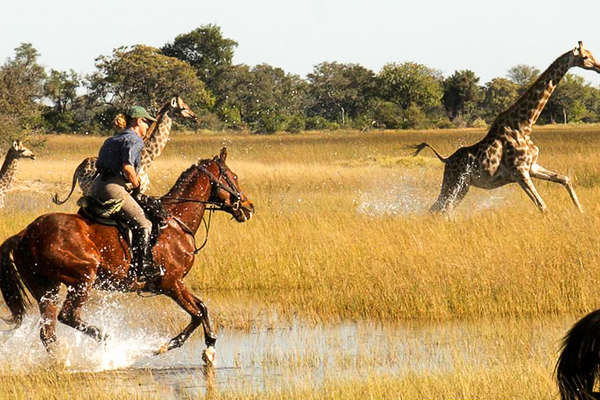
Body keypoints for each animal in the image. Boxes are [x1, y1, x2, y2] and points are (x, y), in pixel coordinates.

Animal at [0, 147, 253, 362]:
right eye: (234, 176)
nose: (249, 207)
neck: (176, 221)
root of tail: (25, 233)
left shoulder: (176, 284)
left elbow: (202, 308)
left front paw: (209, 347)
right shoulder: (171, 284)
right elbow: (197, 313)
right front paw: (168, 346)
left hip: (46, 289)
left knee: (48, 332)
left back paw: (62, 361)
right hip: (83, 277)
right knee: (67, 316)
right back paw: (106, 342)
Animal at [51, 95, 197, 205]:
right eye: (183, 107)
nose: (194, 116)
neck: (149, 157)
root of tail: (78, 168)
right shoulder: (136, 189)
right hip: (88, 188)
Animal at [412, 41, 600, 212]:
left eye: (592, 53)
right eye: (585, 57)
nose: (598, 67)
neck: (524, 125)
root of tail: (446, 159)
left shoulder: (532, 167)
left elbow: (565, 179)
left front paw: (581, 211)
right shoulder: (519, 171)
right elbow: (543, 206)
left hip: (463, 186)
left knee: (441, 209)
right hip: (453, 182)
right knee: (439, 208)